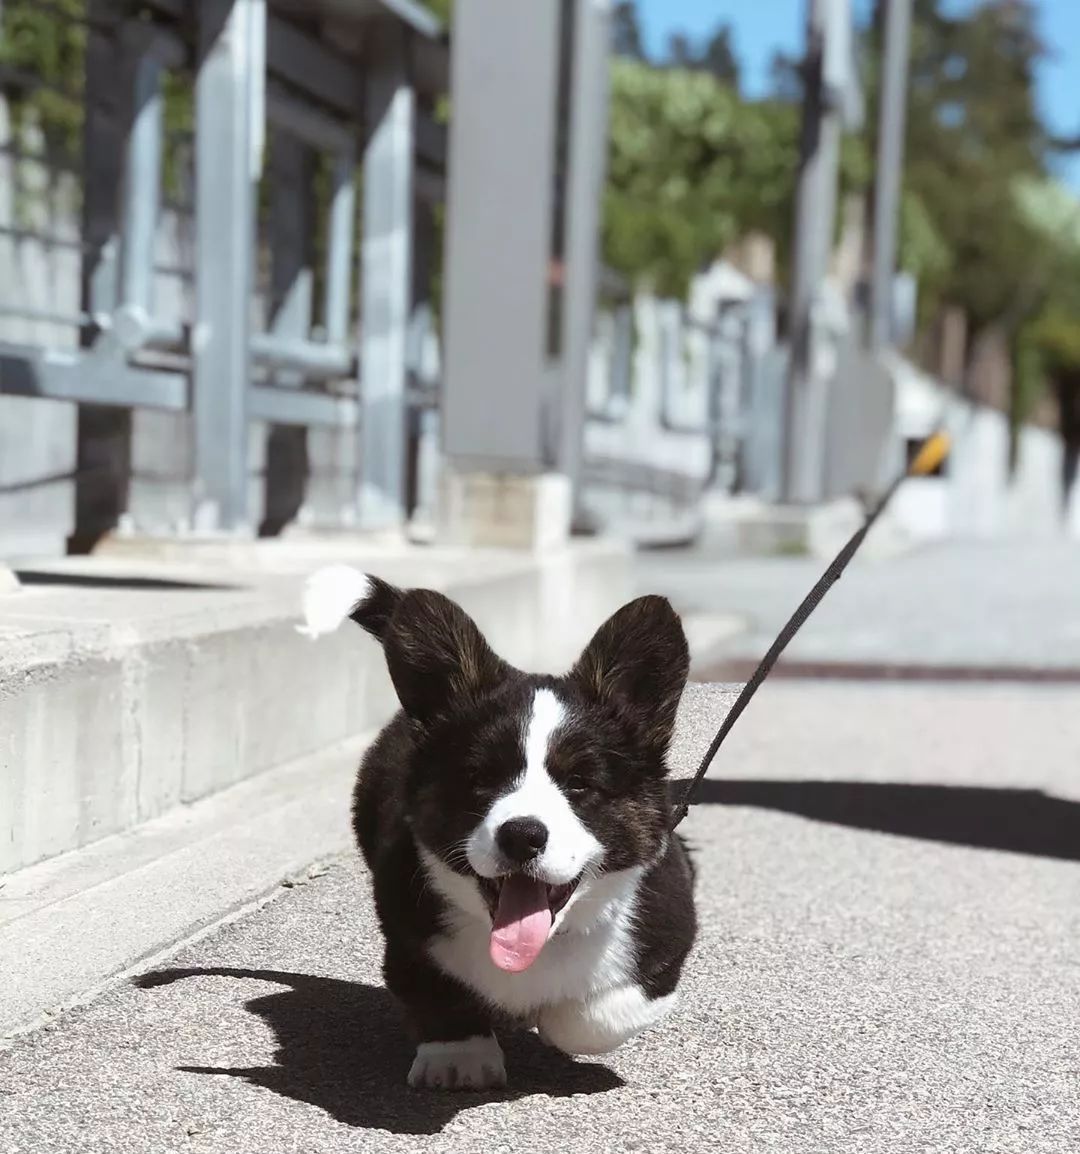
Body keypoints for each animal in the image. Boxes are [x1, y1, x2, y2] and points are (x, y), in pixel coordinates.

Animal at [300, 567, 696, 1089]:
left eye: (579, 783)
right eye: (480, 779)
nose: (522, 835)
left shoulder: (661, 946)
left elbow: (587, 1018)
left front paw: (546, 1017)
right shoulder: (408, 936)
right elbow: (438, 993)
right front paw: (458, 1058)